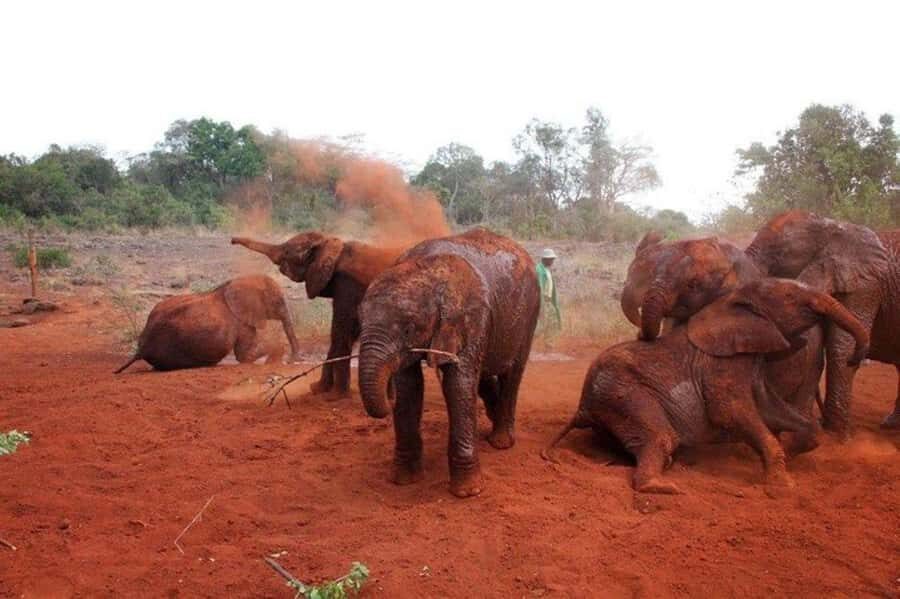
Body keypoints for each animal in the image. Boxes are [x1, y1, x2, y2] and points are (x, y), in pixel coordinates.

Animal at [115, 275, 300, 373]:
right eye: (279, 302)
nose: (291, 362)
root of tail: (141, 349)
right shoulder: (242, 321)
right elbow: (243, 355)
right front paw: (277, 358)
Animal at [231, 232, 402, 395]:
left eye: (286, 251)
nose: (232, 240)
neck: (332, 246)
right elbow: (344, 333)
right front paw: (318, 389)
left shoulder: (347, 286)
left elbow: (341, 332)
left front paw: (336, 396)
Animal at [357, 228, 540, 498]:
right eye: (359, 321)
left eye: (409, 329)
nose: (388, 396)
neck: (427, 269)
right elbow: (409, 387)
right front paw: (404, 481)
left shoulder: (471, 318)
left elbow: (458, 385)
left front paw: (468, 492)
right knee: (484, 377)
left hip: (529, 314)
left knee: (513, 372)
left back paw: (501, 443)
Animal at [543, 278, 869, 494]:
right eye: (790, 296)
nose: (856, 358)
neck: (730, 302)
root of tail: (582, 406)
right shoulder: (720, 365)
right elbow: (731, 412)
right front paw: (783, 487)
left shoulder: (750, 360)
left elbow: (769, 409)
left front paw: (795, 451)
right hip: (621, 394)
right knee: (662, 437)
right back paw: (663, 486)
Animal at [745, 211, 899, 433]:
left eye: (778, 255)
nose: (859, 357)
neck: (832, 225)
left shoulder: (865, 285)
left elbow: (841, 346)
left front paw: (834, 435)